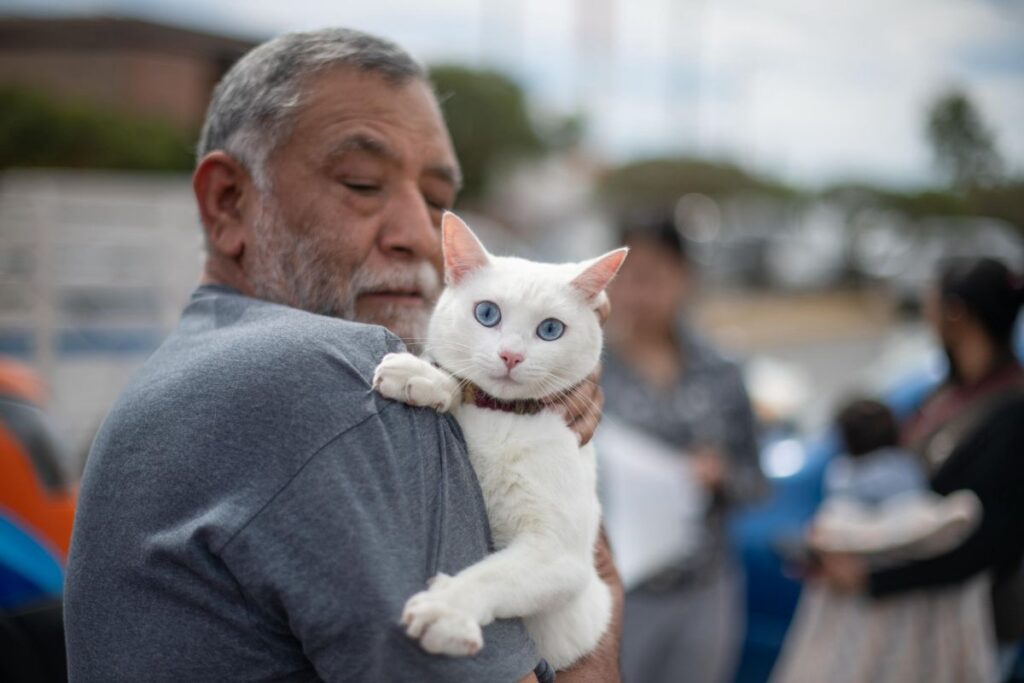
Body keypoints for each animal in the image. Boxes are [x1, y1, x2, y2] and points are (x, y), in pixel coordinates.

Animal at [370, 211, 618, 667]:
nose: (511, 356)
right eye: (487, 313)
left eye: (551, 329)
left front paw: (447, 611)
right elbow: (462, 387)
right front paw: (423, 376)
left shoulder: (558, 555)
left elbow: (494, 575)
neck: (502, 422)